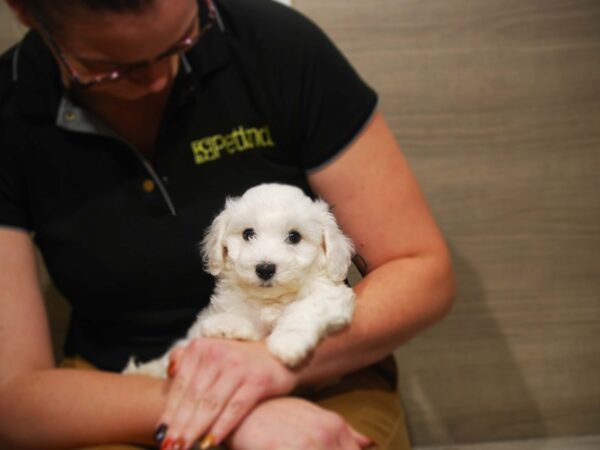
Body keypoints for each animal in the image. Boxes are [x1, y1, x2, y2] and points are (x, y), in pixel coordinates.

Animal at [123, 183, 354, 376]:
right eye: (248, 234)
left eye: (294, 237)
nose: (265, 268)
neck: (270, 300)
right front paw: (225, 326)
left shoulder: (331, 295)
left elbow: (304, 308)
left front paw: (288, 342)